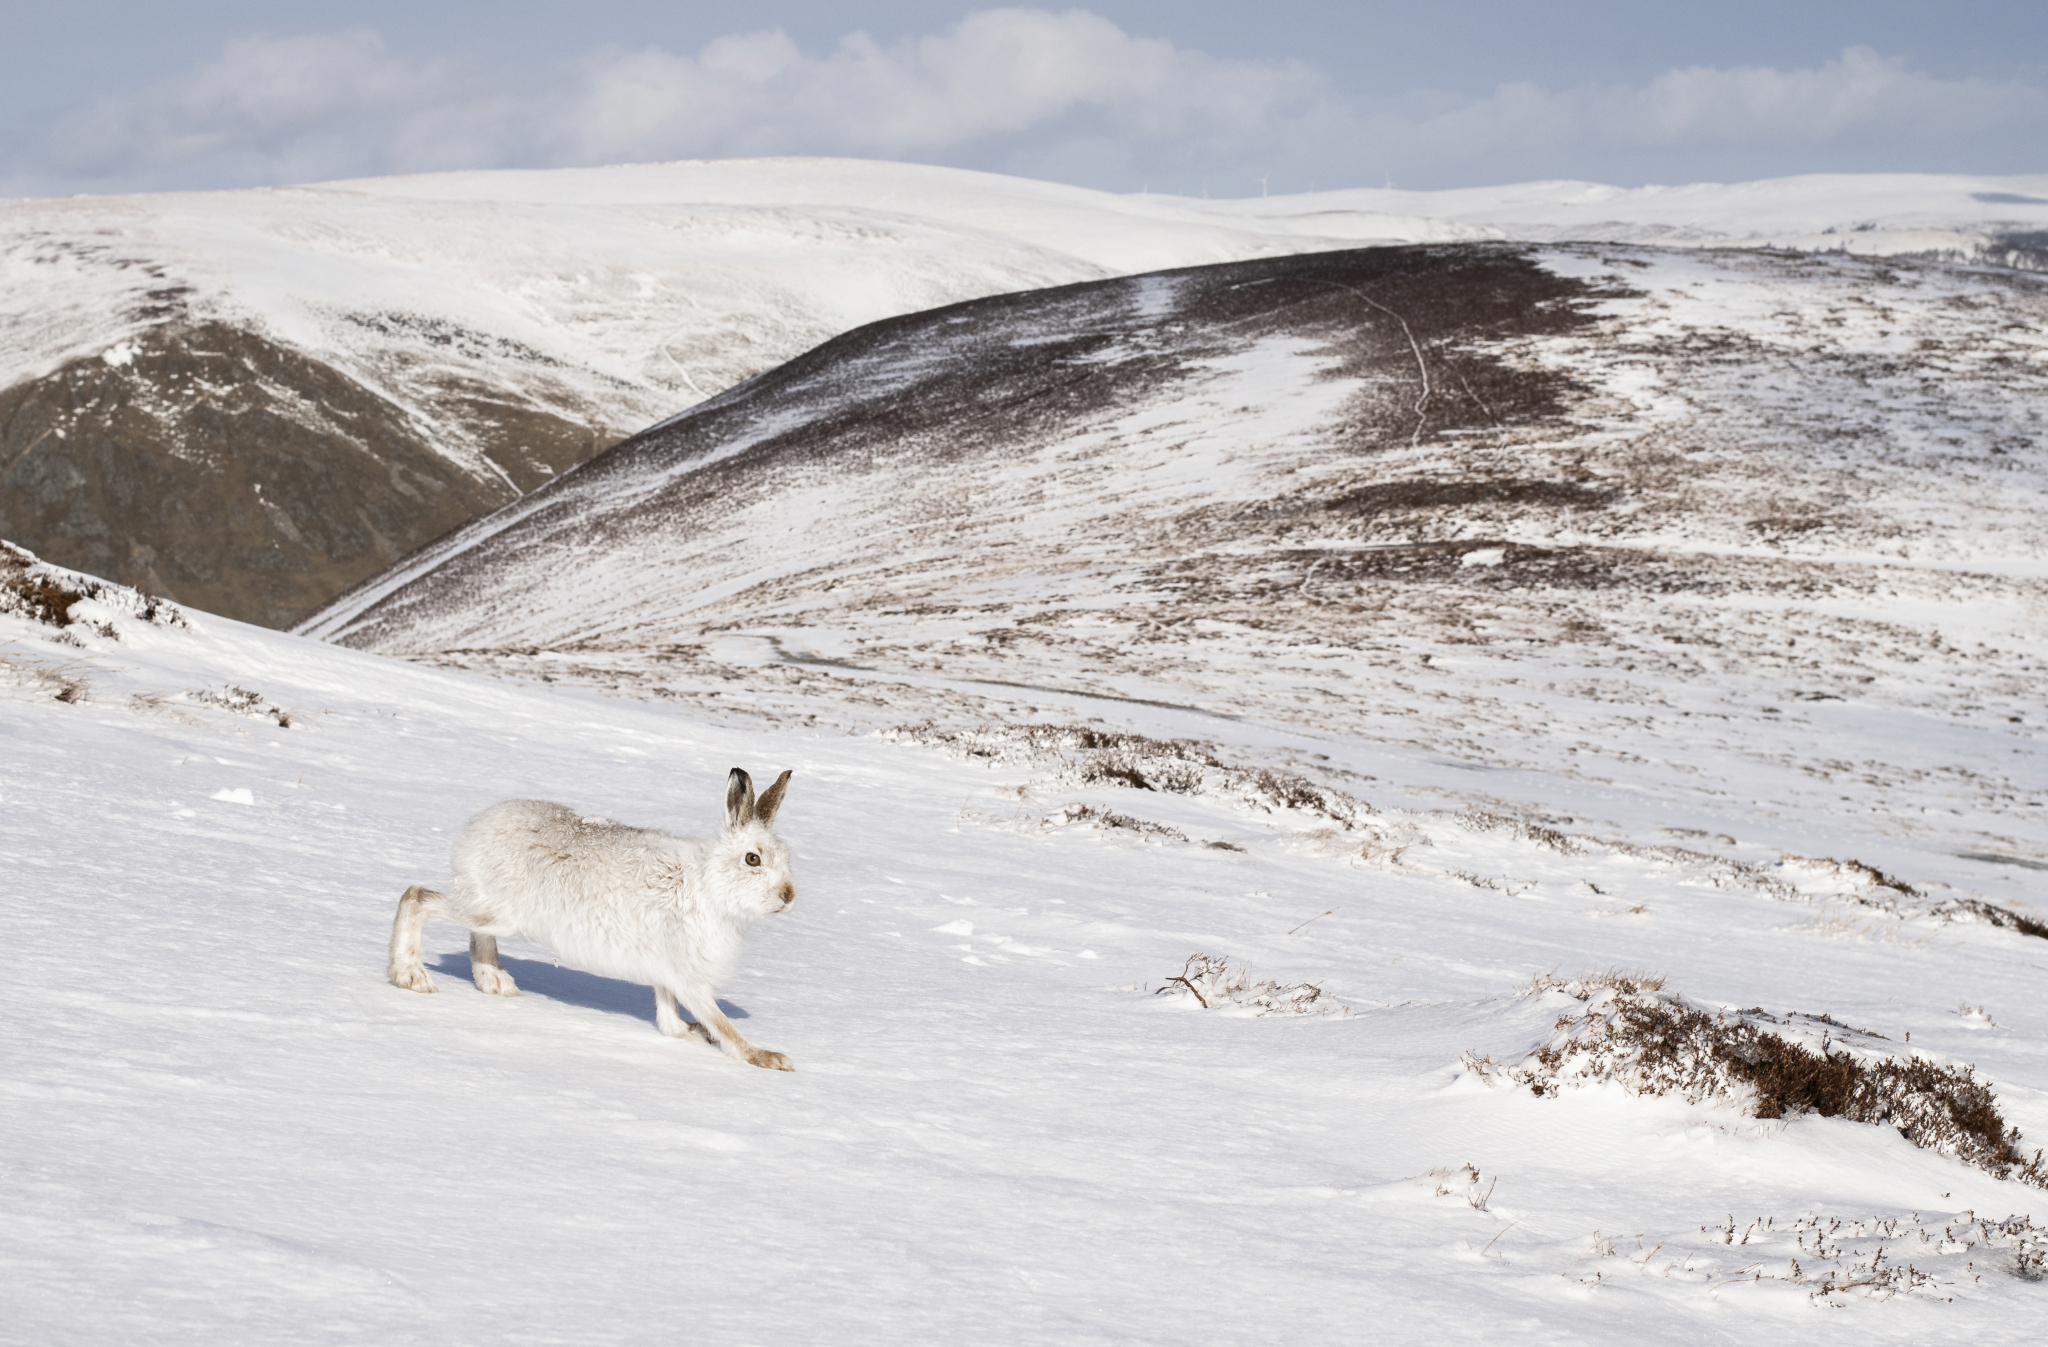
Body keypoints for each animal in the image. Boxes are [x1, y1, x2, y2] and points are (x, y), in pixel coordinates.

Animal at [387, 766, 798, 1070]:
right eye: (753, 859)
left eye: (786, 857)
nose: (788, 896)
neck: (710, 885)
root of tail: (473, 828)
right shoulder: (688, 975)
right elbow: (722, 1024)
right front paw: (766, 1058)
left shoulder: (667, 972)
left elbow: (669, 1020)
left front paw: (689, 1032)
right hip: (496, 912)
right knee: (416, 897)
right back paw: (411, 976)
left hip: (496, 914)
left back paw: (496, 984)